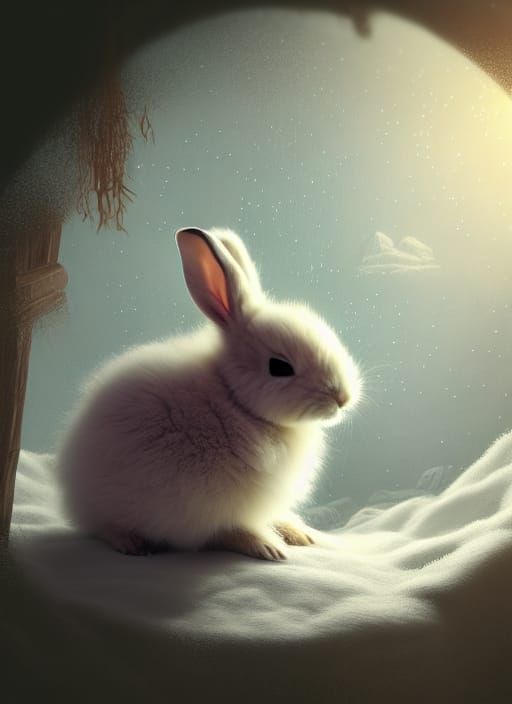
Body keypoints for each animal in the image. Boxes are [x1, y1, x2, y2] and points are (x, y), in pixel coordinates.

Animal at [56, 227, 361, 561]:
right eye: (280, 367)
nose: (343, 398)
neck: (235, 400)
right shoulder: (213, 505)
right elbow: (233, 529)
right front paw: (267, 547)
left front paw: (297, 533)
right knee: (101, 527)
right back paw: (131, 543)